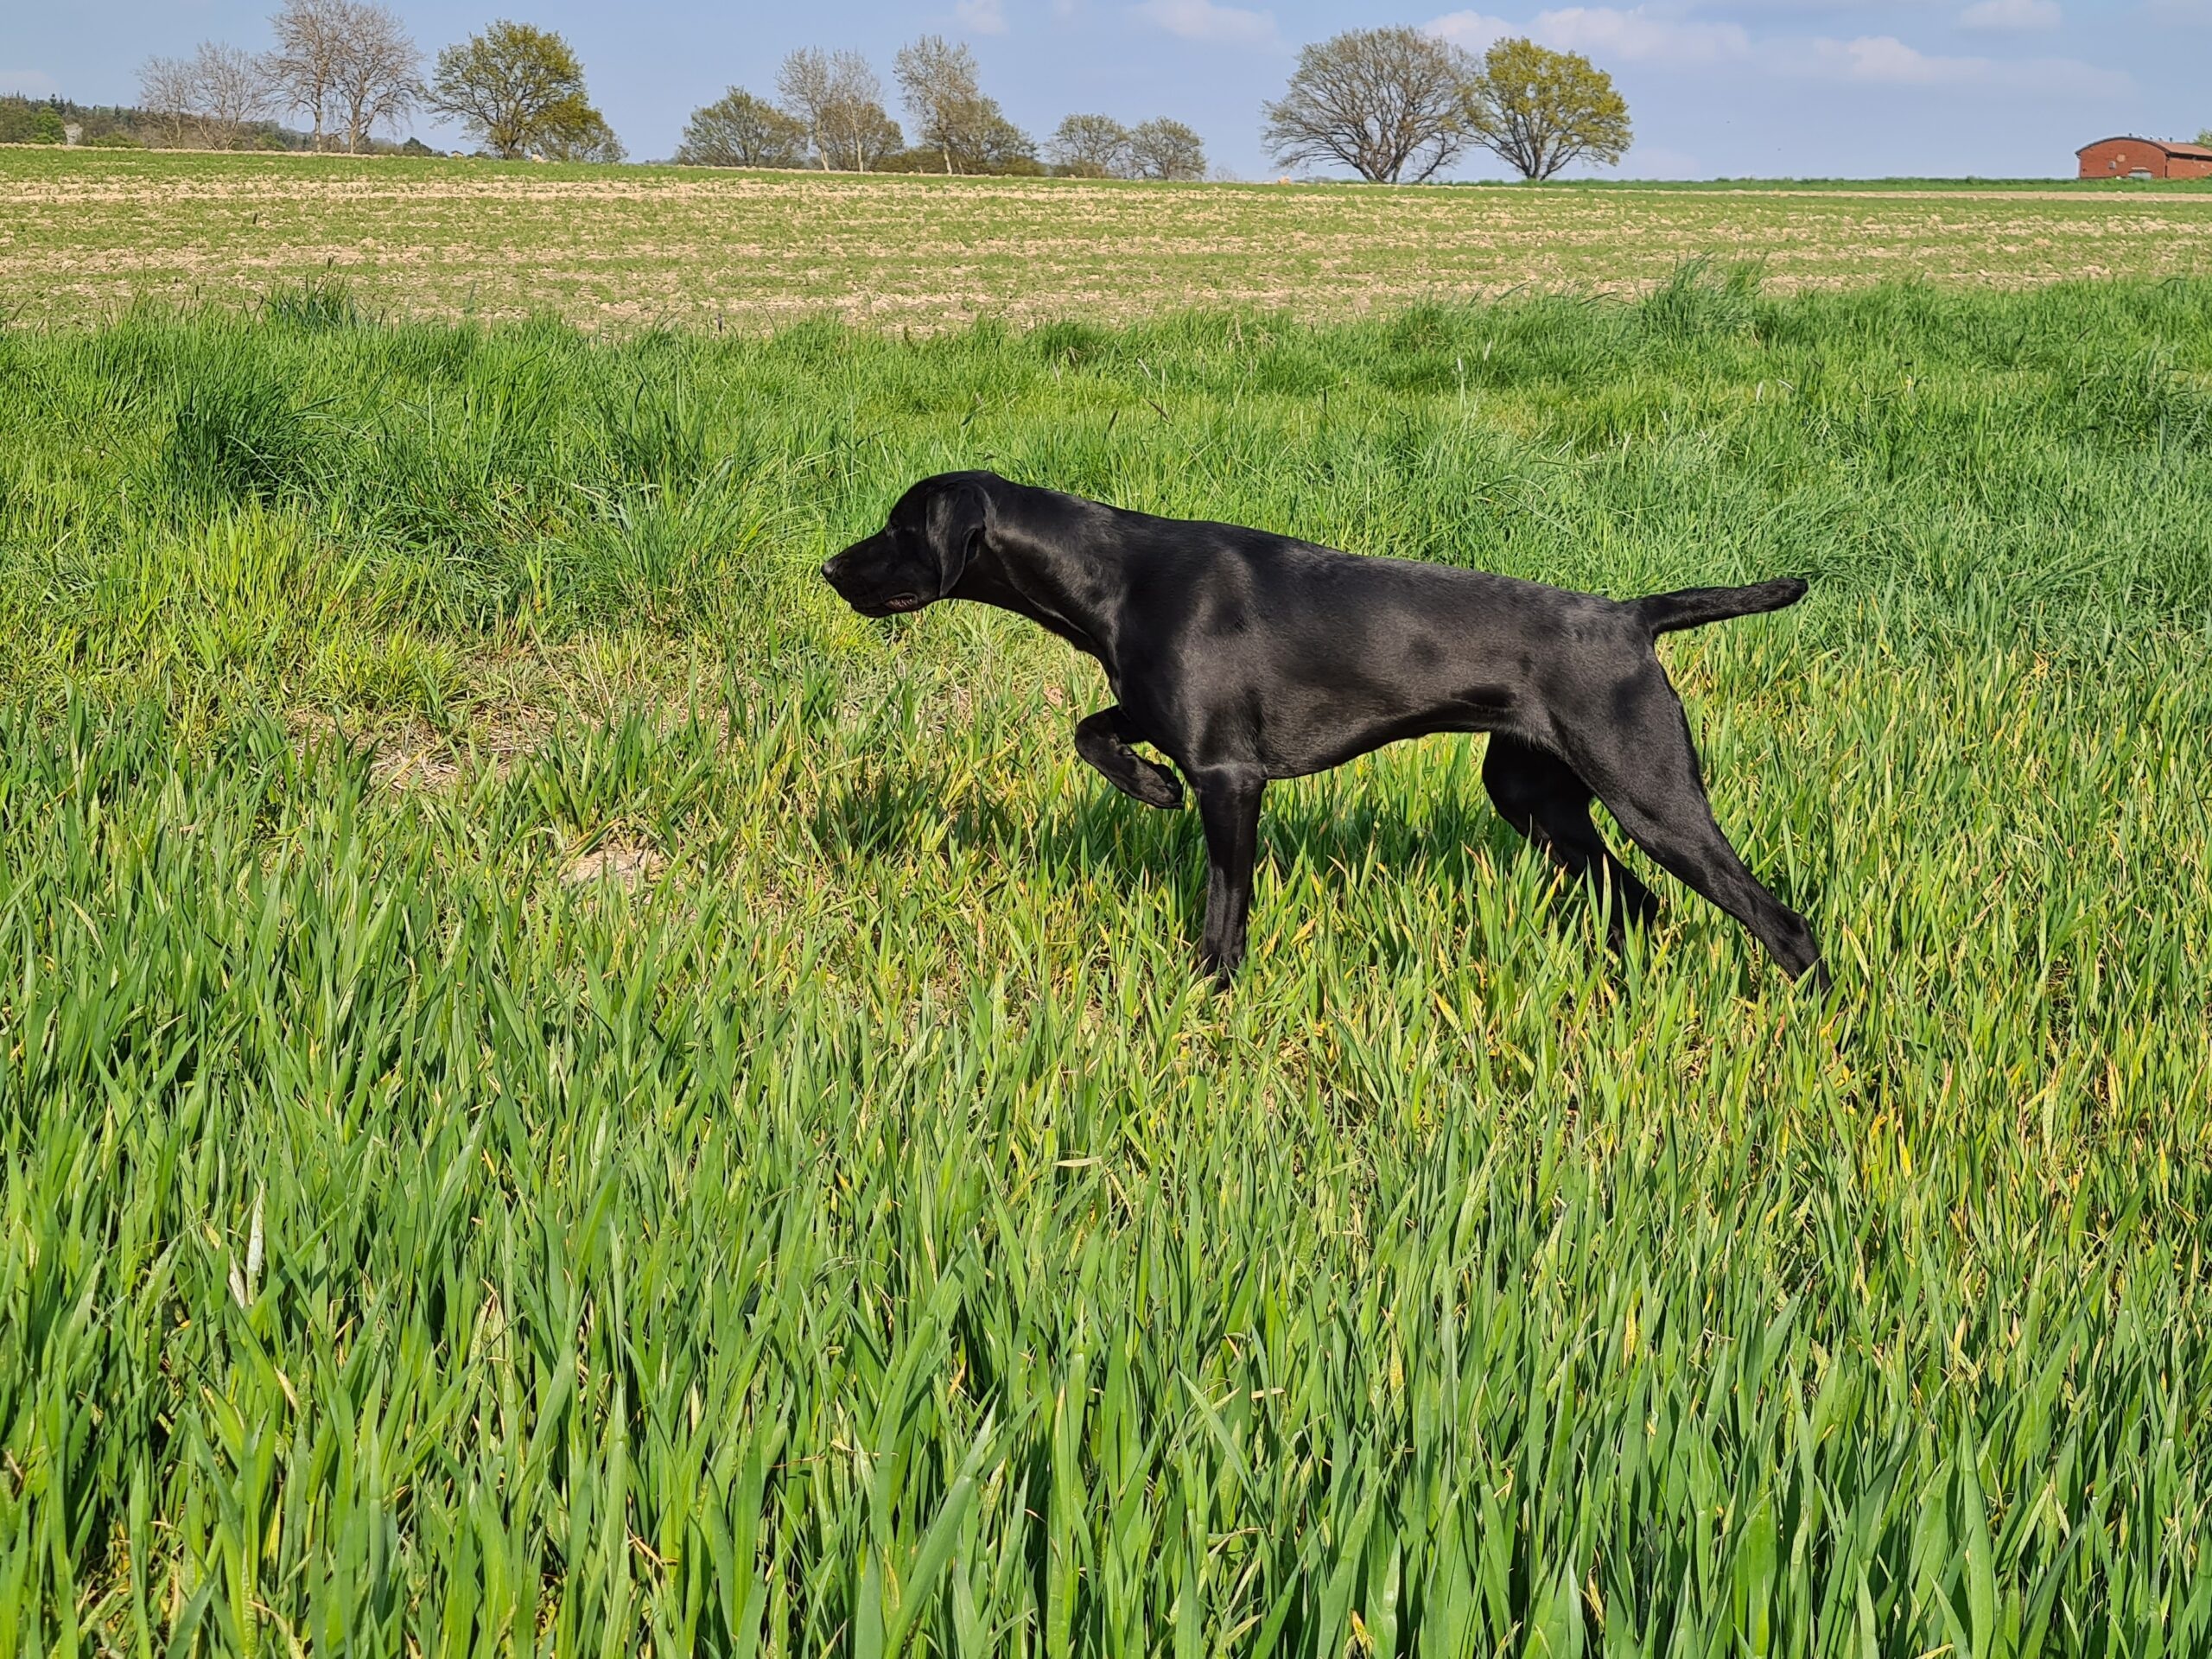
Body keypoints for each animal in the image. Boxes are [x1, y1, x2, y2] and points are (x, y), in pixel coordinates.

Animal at [822, 471, 1827, 990]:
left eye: (898, 526)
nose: (829, 567)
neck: (1114, 572)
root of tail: (1632, 617)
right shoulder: (1165, 722)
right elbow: (1090, 730)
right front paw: (1146, 783)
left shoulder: (1230, 775)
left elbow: (1224, 910)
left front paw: (1210, 993)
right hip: (1538, 800)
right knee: (1639, 905)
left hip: (1651, 794)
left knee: (1785, 924)